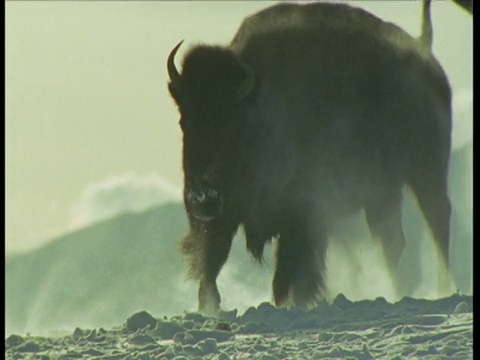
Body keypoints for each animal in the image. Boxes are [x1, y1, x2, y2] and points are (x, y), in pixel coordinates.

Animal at [167, 0, 452, 316]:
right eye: (183, 121)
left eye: (232, 125)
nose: (202, 199)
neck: (258, 105)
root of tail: (428, 62)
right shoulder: (226, 216)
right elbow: (211, 263)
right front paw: (209, 306)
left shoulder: (302, 217)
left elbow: (288, 274)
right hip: (383, 194)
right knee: (393, 240)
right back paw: (398, 291)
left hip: (427, 175)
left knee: (438, 223)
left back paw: (444, 288)